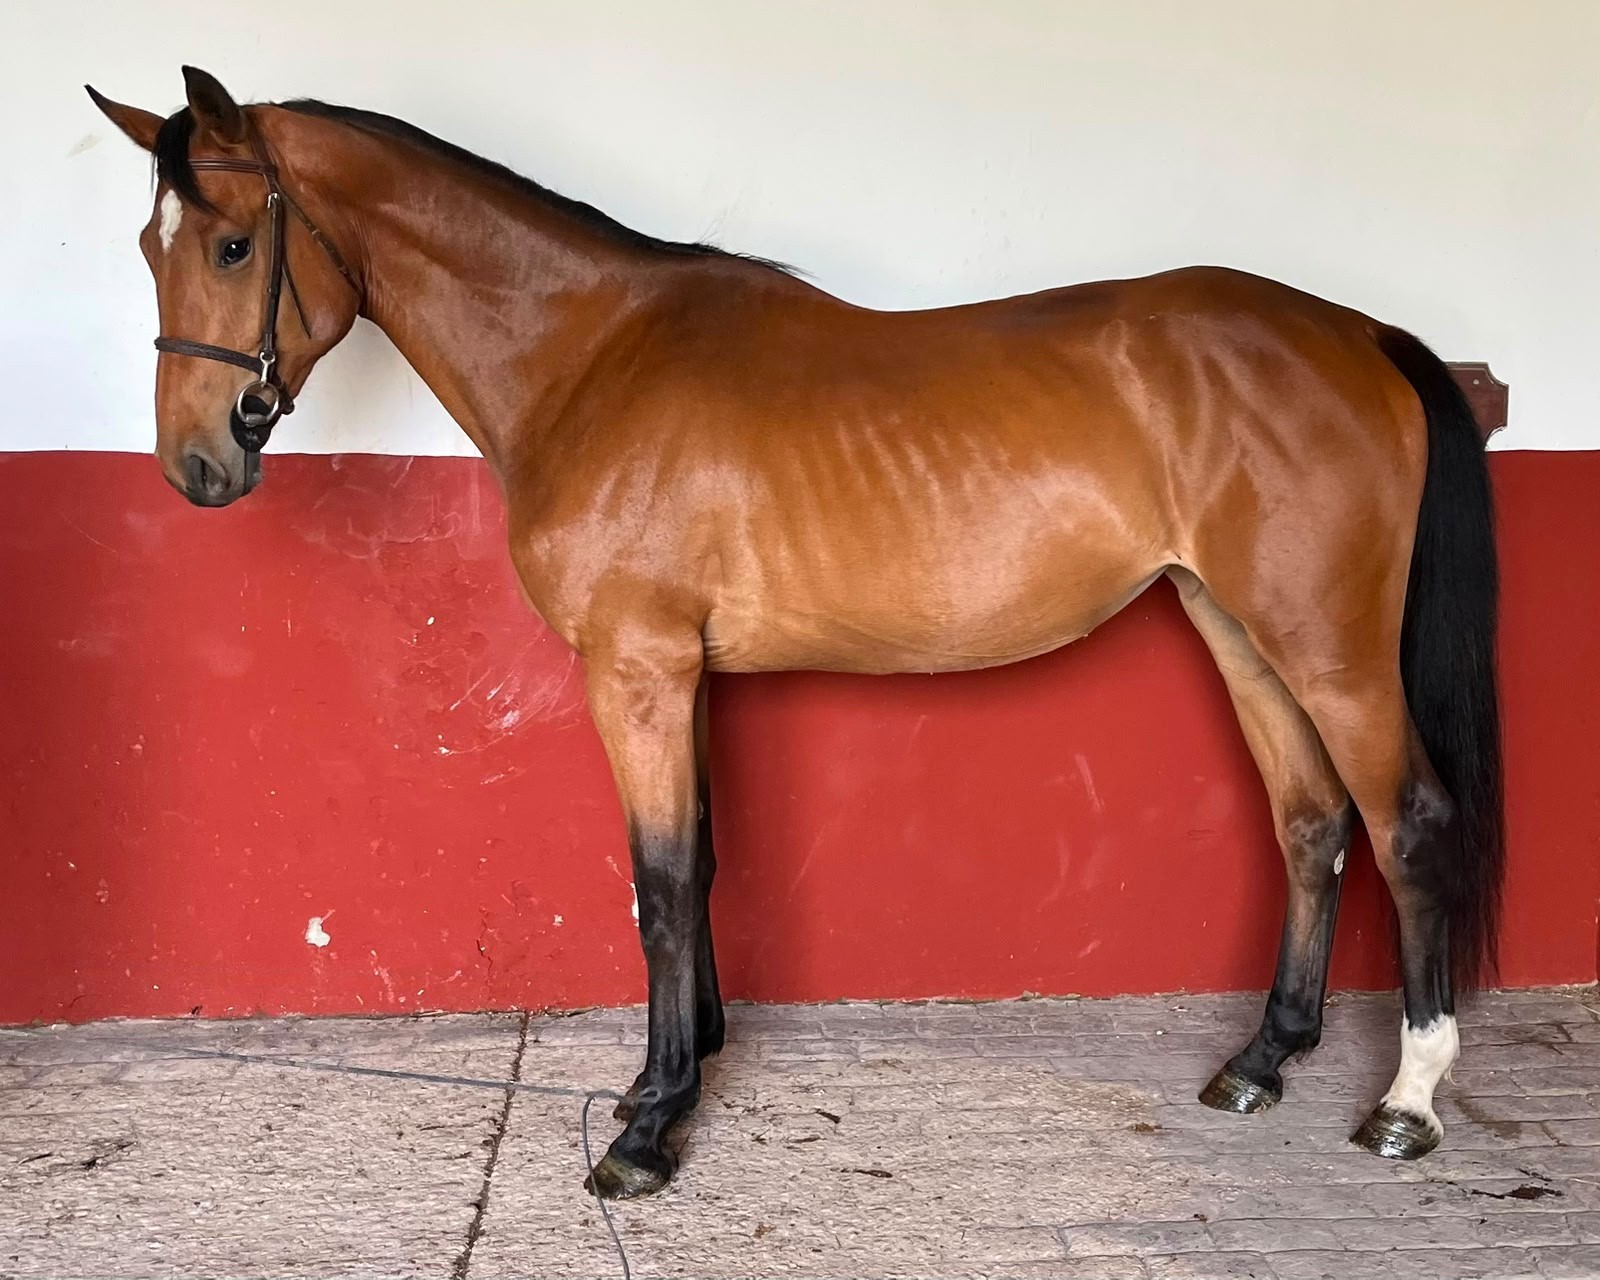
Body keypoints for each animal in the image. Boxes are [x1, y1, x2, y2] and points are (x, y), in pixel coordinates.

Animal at [88, 67, 1502, 1200]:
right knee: (1311, 823)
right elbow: (702, 863)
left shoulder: (637, 670)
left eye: (230, 245)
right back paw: (1263, 1057)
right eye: (151, 250)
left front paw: (648, 1126)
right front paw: (681, 1064)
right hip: (1240, 632)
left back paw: (1405, 1099)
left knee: (1406, 823)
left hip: (1329, 652)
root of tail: (1356, 333)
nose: (194, 467)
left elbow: (659, 883)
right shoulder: (681, 675)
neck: (588, 357)